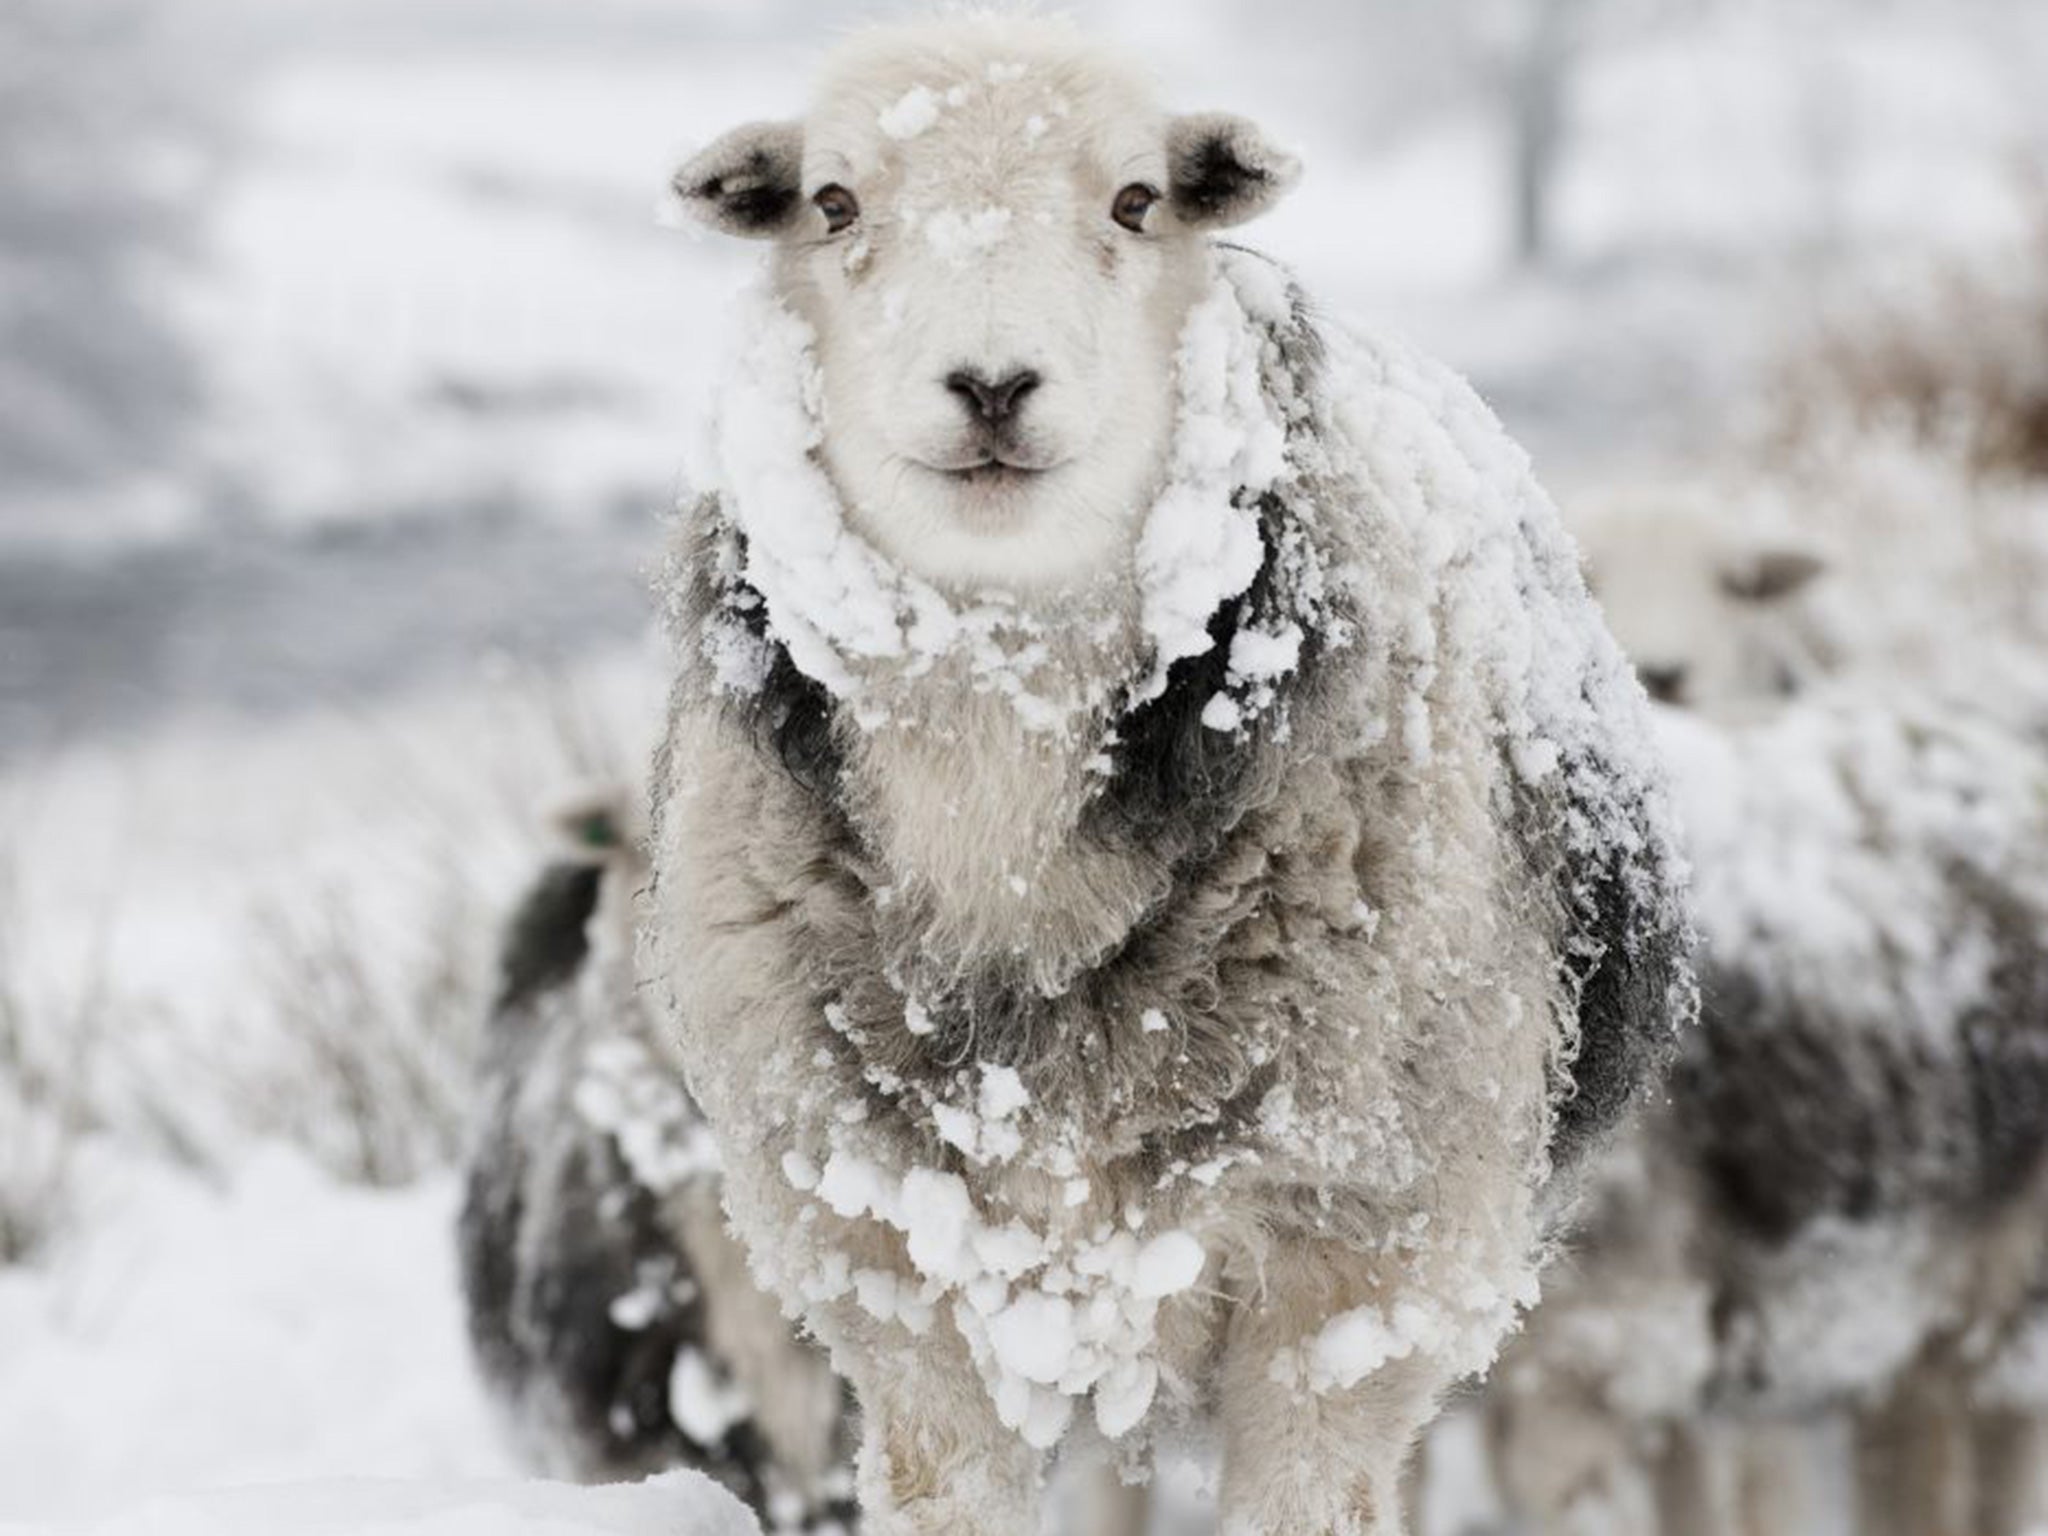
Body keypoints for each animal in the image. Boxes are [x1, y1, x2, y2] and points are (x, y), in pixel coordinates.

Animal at [645, 19, 1694, 1535]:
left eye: (1137, 200)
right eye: (832, 203)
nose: (992, 386)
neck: (1002, 838)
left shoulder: (1347, 1296)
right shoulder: (898, 1291)